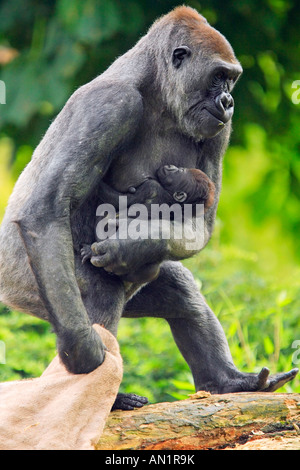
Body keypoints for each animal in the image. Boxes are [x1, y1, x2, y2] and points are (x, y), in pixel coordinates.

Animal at [81, 163, 214, 284]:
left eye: (180, 171)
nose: (171, 166)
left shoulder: (151, 187)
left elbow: (117, 199)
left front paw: (98, 181)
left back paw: (92, 251)